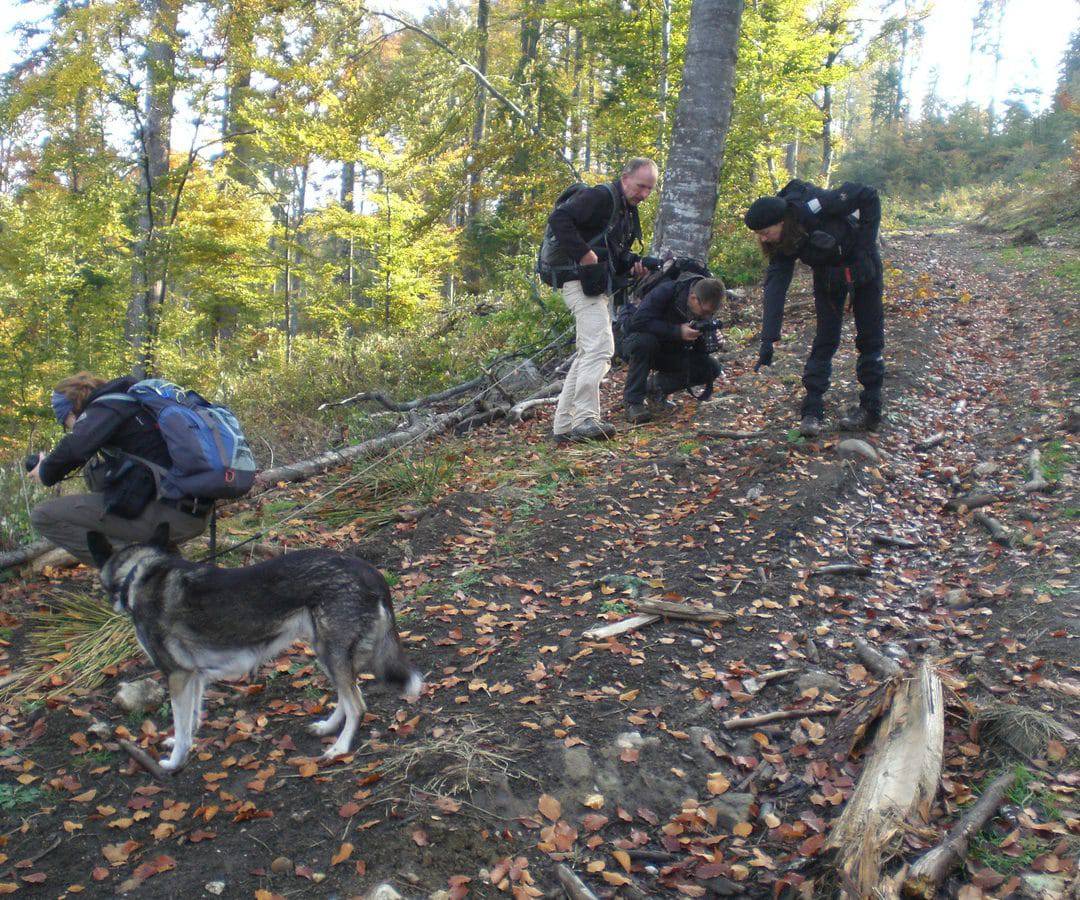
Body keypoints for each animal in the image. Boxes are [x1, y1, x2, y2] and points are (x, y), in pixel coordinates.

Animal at [87, 527, 421, 773]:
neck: (136, 574)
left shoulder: (177, 675)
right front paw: (183, 742)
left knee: (357, 705)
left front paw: (175, 761)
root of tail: (369, 570)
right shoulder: (194, 676)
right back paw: (328, 726)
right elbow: (191, 719)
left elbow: (181, 725)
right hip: (325, 651)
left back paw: (339, 748)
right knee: (350, 694)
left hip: (331, 652)